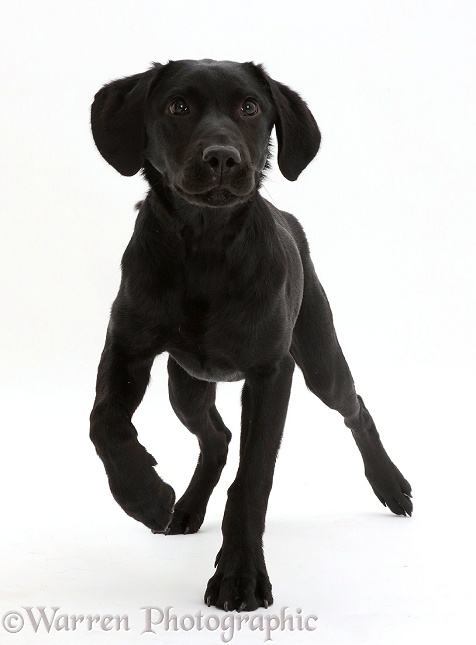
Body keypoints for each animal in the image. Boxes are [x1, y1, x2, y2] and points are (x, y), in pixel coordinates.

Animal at [90, 59, 412, 608]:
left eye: (250, 107)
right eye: (177, 106)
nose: (222, 157)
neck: (205, 246)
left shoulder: (271, 372)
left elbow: (253, 478)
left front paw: (239, 575)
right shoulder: (127, 346)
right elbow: (104, 422)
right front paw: (146, 496)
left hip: (319, 362)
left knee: (356, 408)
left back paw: (391, 484)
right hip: (185, 386)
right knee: (216, 437)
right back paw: (185, 507)